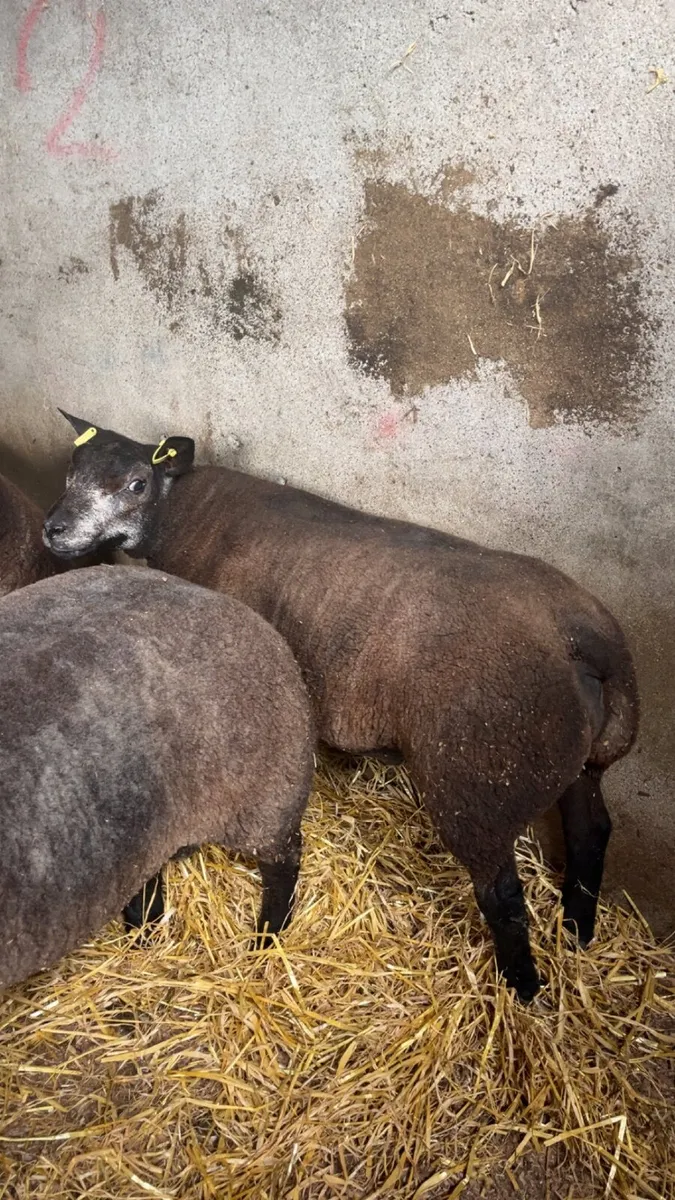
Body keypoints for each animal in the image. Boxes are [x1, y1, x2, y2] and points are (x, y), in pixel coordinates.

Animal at [0, 564, 313, 990]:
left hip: (266, 795)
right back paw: (145, 933)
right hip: (149, 824)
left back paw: (267, 937)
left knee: (285, 861)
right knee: (146, 880)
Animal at [43, 413, 639, 1001]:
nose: (55, 529)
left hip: (482, 782)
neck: (182, 512)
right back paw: (578, 931)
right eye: (70, 472)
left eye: (137, 484)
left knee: (504, 894)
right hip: (580, 763)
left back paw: (524, 988)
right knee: (590, 833)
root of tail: (588, 640)